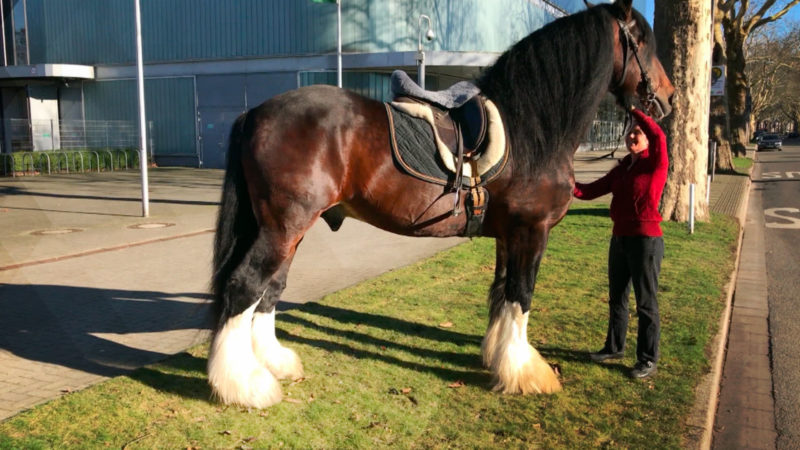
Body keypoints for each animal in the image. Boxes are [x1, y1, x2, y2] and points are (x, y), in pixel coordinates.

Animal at [209, 0, 672, 408]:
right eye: (642, 41)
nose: (668, 98)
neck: (530, 130)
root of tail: (255, 113)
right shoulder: (532, 231)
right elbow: (521, 295)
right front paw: (526, 372)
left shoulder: (508, 235)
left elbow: (501, 293)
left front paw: (497, 360)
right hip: (284, 227)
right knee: (244, 285)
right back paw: (244, 385)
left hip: (289, 230)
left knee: (271, 289)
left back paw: (273, 363)